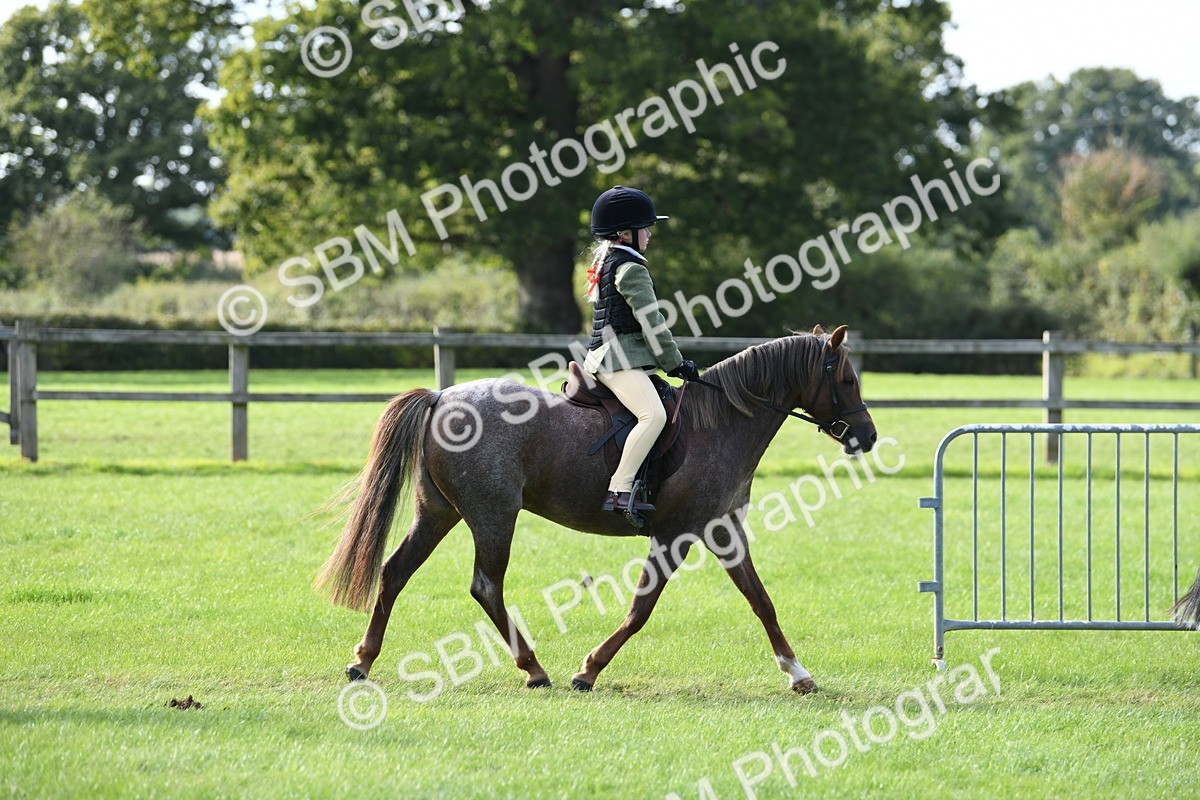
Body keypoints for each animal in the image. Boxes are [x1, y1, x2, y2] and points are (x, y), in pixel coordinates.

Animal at [315, 324, 877, 694]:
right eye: (849, 381)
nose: (868, 436)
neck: (720, 424)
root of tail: (441, 398)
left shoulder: (723, 531)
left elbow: (761, 601)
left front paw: (798, 672)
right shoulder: (675, 536)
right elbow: (640, 610)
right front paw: (587, 670)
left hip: (437, 512)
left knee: (395, 571)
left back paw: (363, 661)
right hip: (494, 515)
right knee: (486, 586)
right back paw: (534, 668)